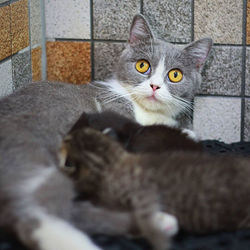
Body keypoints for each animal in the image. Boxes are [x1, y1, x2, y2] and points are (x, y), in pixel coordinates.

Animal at [0, 14, 211, 250]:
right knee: (31, 211)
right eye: (142, 65)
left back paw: (161, 222)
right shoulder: (117, 112)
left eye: (175, 75)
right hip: (31, 144)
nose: (155, 86)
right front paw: (187, 133)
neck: (145, 110)